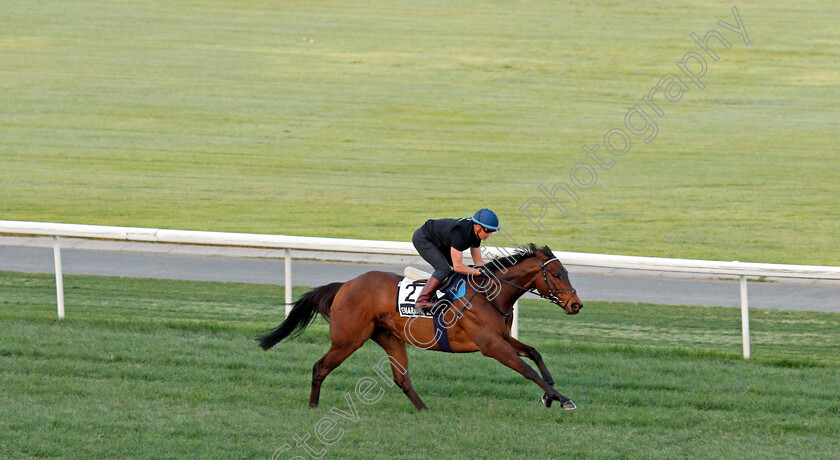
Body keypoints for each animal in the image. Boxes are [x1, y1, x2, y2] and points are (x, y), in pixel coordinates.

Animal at [258, 244, 584, 410]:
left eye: (566, 271)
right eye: (557, 274)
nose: (576, 305)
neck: (491, 295)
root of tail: (345, 286)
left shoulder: (502, 337)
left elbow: (534, 353)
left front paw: (550, 394)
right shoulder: (491, 346)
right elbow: (527, 369)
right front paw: (563, 398)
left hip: (390, 338)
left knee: (401, 379)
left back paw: (424, 409)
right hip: (347, 340)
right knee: (320, 367)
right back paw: (313, 407)